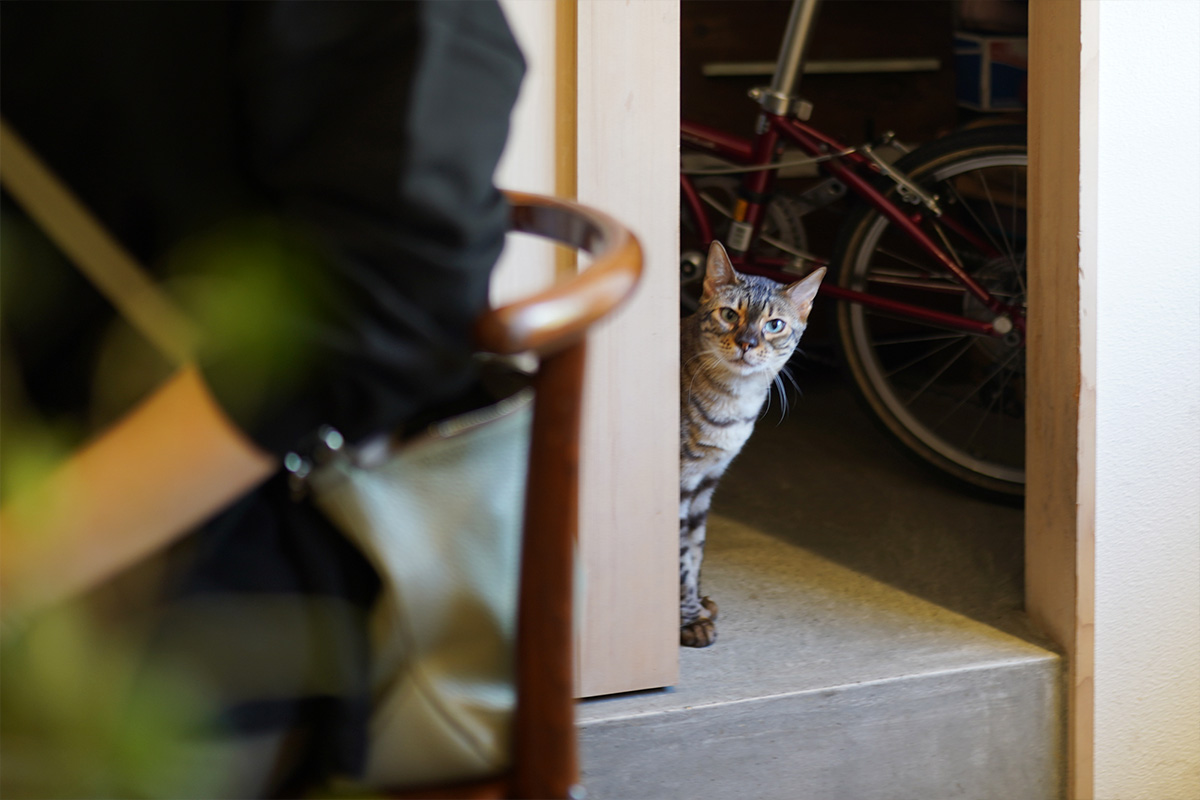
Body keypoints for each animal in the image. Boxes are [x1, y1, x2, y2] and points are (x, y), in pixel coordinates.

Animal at [681, 241, 820, 647]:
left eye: (775, 325)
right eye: (729, 314)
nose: (747, 343)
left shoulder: (707, 481)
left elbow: (695, 550)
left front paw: (695, 604)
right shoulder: (683, 480)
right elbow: (680, 557)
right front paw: (688, 620)